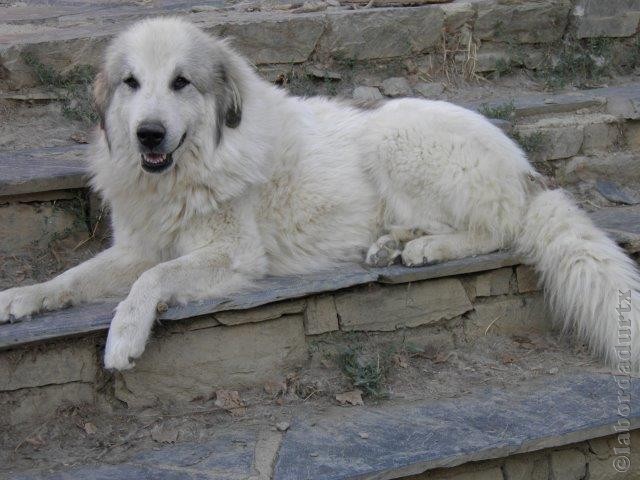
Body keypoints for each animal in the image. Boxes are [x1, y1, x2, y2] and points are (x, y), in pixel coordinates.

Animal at [1, 17, 640, 372]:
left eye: (181, 82)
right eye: (131, 83)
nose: (148, 134)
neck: (188, 168)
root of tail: (526, 172)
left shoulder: (232, 255)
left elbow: (151, 281)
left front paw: (124, 337)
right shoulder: (137, 246)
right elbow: (74, 277)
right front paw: (23, 297)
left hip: (393, 136)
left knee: (494, 230)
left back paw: (425, 248)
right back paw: (392, 244)